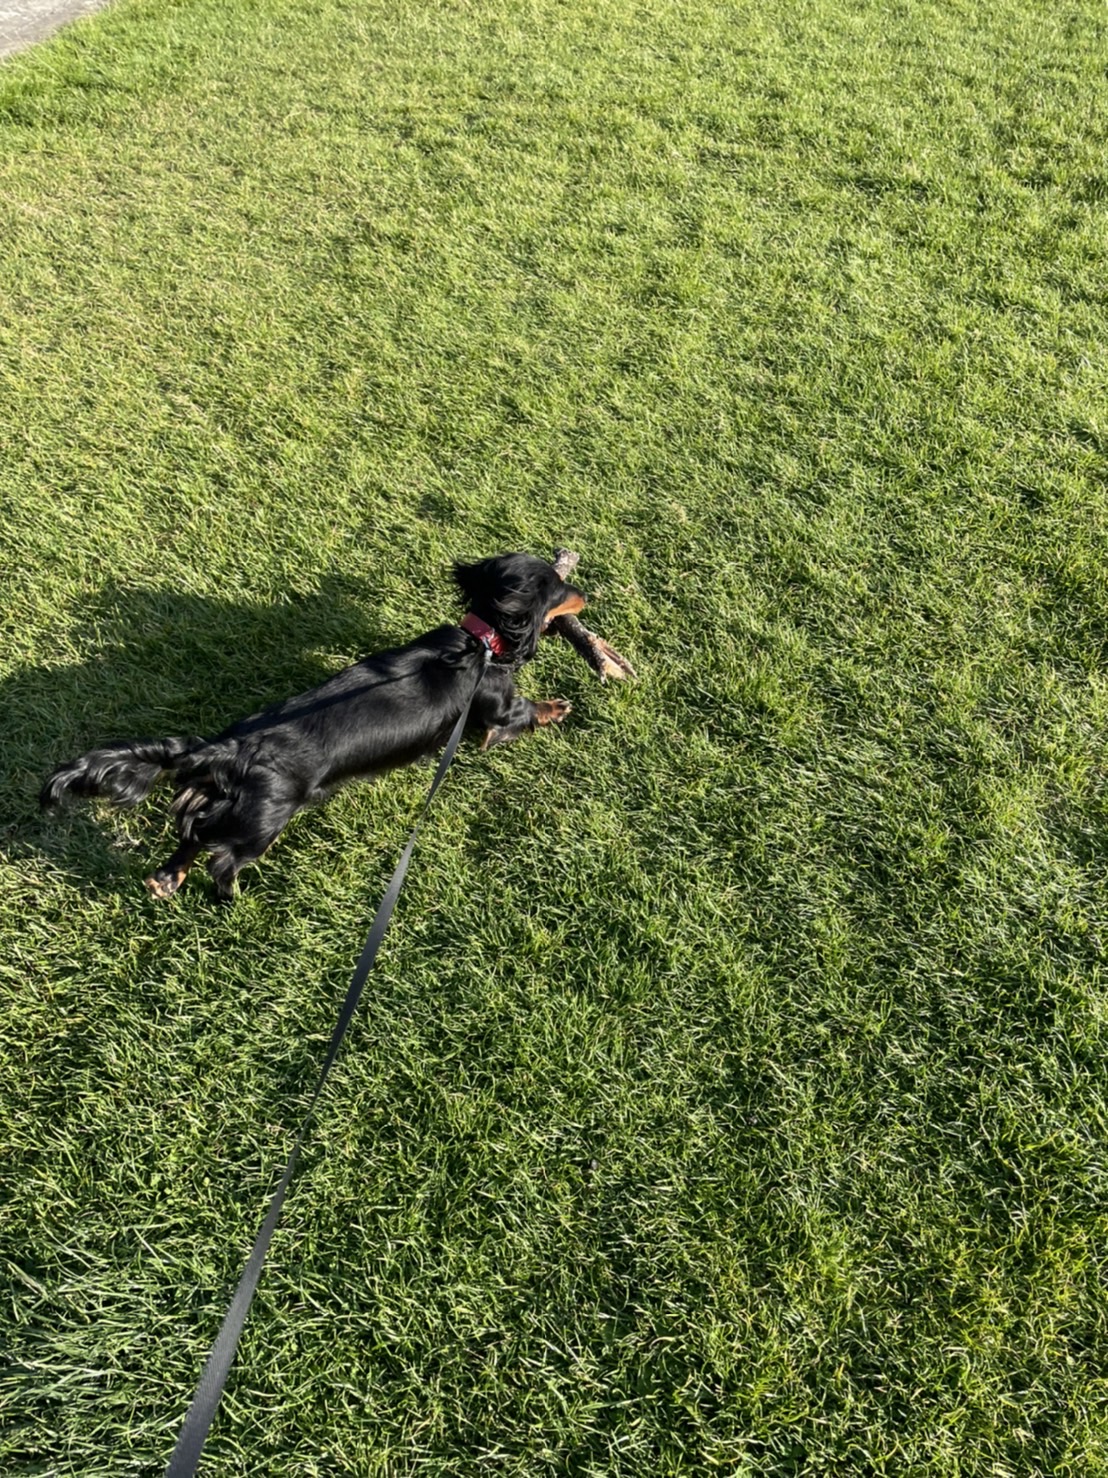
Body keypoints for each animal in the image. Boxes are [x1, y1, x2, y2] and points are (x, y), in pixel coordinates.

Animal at [39, 555, 585, 898]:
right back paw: (234, 899)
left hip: (221, 810)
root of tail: (226, 751)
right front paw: (560, 706)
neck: (479, 643)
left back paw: (167, 881)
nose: (584, 593)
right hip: (262, 825)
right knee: (222, 860)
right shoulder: (497, 711)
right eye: (561, 589)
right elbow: (525, 714)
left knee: (191, 839)